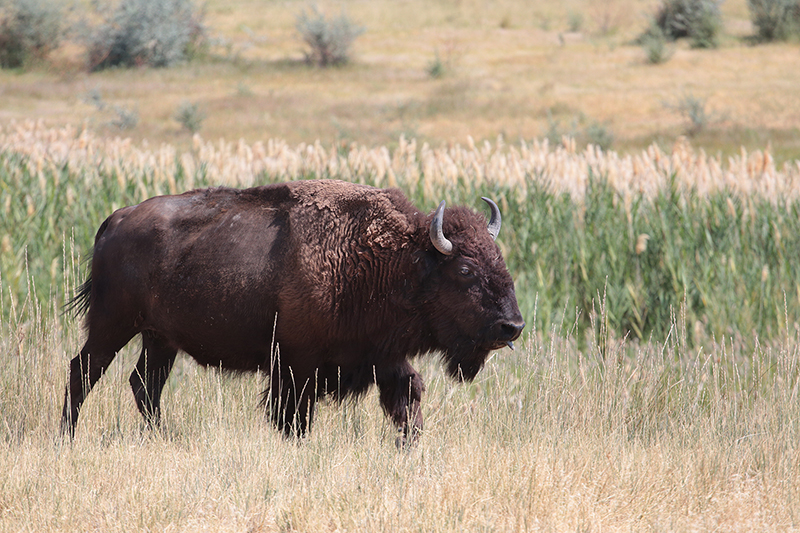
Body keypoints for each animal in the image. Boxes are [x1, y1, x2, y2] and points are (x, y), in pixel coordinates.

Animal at [61, 179, 524, 444]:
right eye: (465, 270)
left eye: (499, 259)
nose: (512, 325)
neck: (391, 259)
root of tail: (116, 220)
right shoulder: (296, 364)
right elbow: (293, 416)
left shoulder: (383, 355)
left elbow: (406, 398)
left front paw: (410, 448)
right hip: (112, 325)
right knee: (83, 371)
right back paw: (66, 439)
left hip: (160, 339)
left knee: (144, 385)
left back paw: (164, 439)